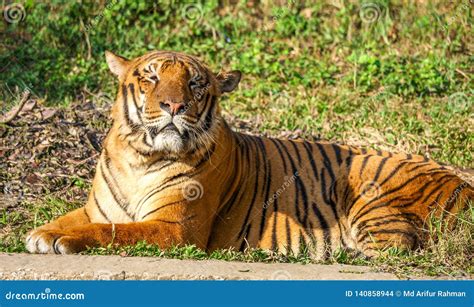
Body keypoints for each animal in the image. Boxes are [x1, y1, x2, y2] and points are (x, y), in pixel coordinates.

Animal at [26, 51, 474, 258]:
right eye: (150, 77)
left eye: (195, 83)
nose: (174, 106)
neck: (141, 157)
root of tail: (463, 183)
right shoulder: (98, 208)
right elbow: (75, 220)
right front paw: (42, 234)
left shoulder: (176, 228)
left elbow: (115, 231)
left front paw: (63, 241)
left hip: (370, 199)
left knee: (400, 246)